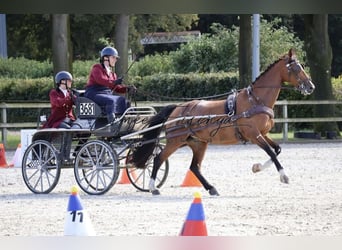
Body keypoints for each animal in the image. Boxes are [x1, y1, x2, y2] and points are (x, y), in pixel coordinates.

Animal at [132, 48, 316, 196]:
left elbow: (277, 150)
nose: (311, 86)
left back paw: (211, 188)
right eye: (296, 68)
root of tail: (178, 108)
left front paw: (256, 167)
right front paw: (284, 176)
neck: (255, 100)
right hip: (175, 141)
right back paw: (153, 188)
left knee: (194, 167)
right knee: (158, 159)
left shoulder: (263, 134)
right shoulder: (254, 135)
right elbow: (271, 152)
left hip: (198, 143)